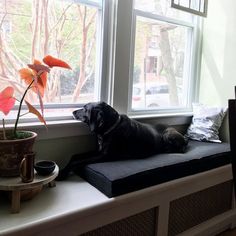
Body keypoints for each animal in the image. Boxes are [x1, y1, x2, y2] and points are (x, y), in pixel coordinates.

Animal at [57, 102, 188, 181]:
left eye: (85, 109)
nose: (73, 112)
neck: (111, 127)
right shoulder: (98, 151)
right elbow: (75, 156)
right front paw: (64, 169)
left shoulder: (105, 156)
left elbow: (77, 161)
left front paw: (62, 174)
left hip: (168, 134)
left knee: (181, 148)